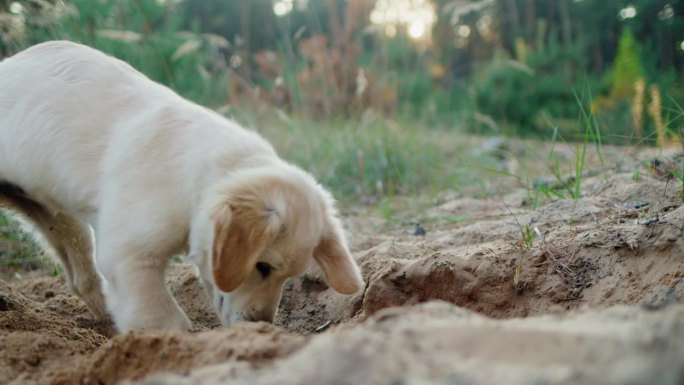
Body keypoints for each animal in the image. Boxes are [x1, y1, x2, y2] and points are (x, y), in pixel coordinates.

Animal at [0, 41, 364, 330]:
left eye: (289, 277)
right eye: (262, 266)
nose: (261, 324)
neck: (201, 176)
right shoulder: (128, 256)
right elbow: (162, 319)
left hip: (57, 217)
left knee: (82, 278)